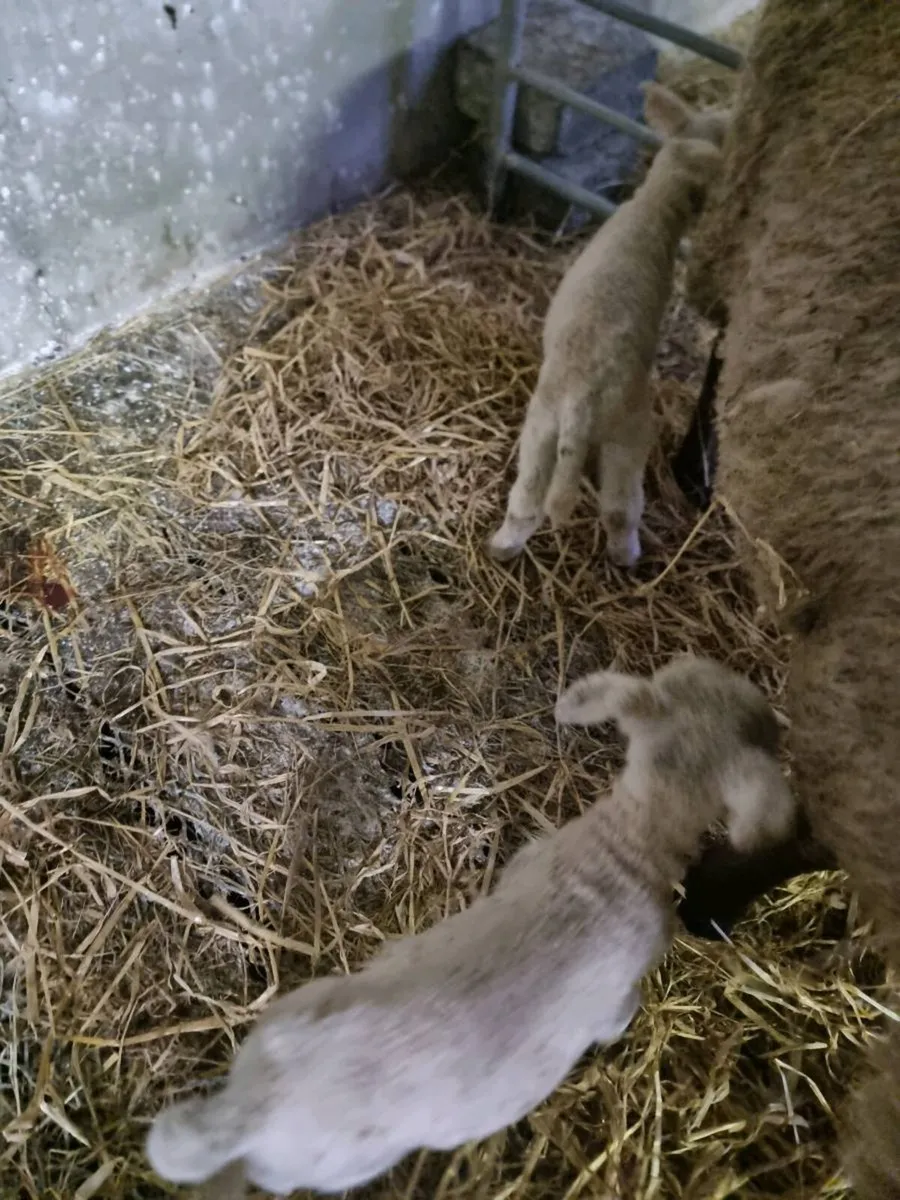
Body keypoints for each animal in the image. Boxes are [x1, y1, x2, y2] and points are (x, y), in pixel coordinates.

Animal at [145, 654, 794, 1198]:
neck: (629, 842)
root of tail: (260, 1107)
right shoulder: (624, 980)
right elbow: (617, 1016)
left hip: (292, 1014)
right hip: (333, 1163)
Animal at [486, 84, 727, 569]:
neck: (654, 208)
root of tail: (583, 398)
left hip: (542, 431)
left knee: (527, 503)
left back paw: (503, 548)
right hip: (624, 438)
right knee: (618, 509)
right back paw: (627, 557)